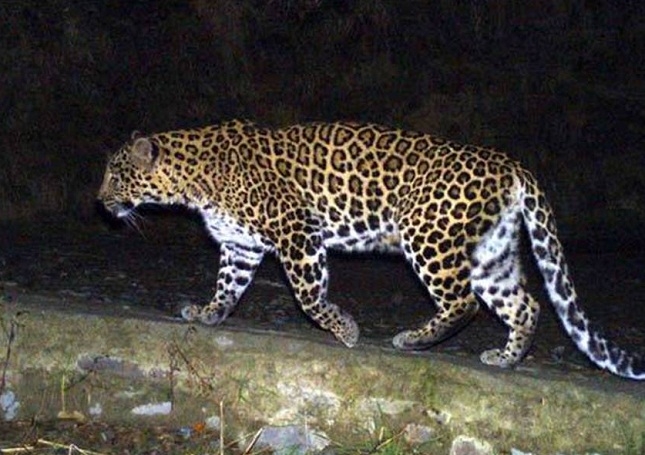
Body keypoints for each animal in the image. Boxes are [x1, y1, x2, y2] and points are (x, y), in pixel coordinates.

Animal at [98, 119, 644, 380]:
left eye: (115, 175)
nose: (99, 201)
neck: (192, 178)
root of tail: (510, 164)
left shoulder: (296, 230)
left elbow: (309, 294)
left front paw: (345, 330)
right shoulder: (240, 245)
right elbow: (227, 287)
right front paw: (208, 314)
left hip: (427, 235)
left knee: (463, 301)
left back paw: (414, 340)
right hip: (492, 253)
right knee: (525, 304)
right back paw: (505, 360)